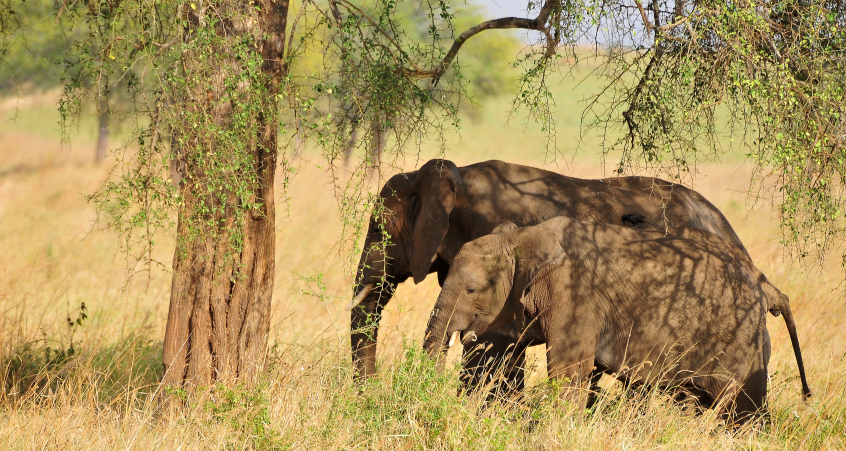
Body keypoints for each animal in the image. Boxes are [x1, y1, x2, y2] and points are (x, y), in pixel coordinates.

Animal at [424, 216, 816, 424]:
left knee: (742, 410)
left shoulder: (575, 295)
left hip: (738, 335)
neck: (522, 237)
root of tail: (764, 283)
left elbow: (568, 369)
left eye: (472, 289)